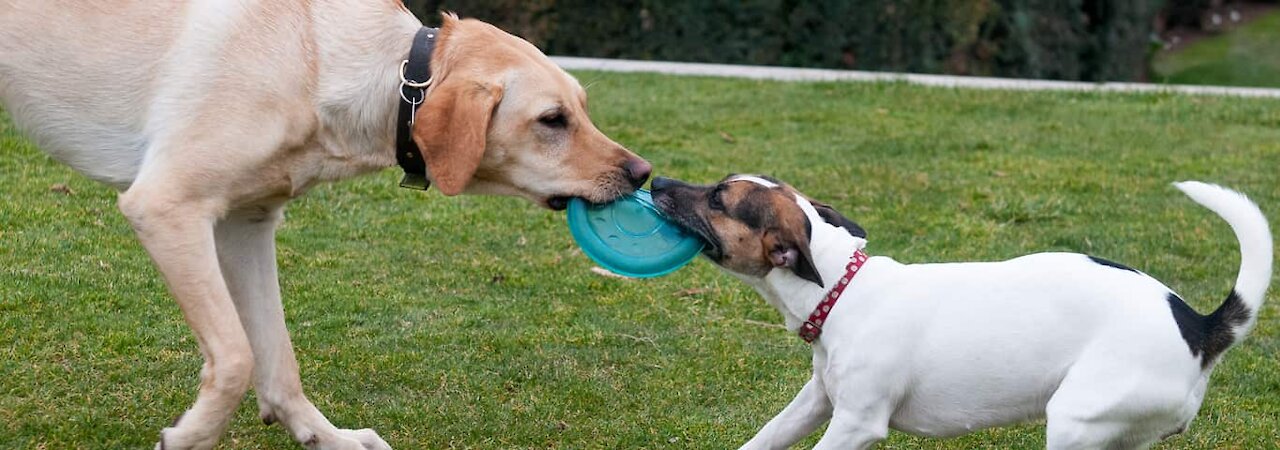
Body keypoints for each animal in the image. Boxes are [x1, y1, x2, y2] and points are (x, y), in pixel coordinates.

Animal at [0, 1, 650, 447]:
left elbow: (277, 360)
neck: (316, 57)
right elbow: (235, 358)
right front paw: (189, 437)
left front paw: (324, 435)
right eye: (552, 119)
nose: (642, 172)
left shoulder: (246, 226)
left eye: (582, 108)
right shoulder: (166, 207)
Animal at [650, 173, 1269, 447]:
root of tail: (1198, 326)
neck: (843, 289)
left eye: (718, 198)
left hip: (1075, 419)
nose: (656, 181)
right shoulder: (818, 401)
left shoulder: (856, 422)